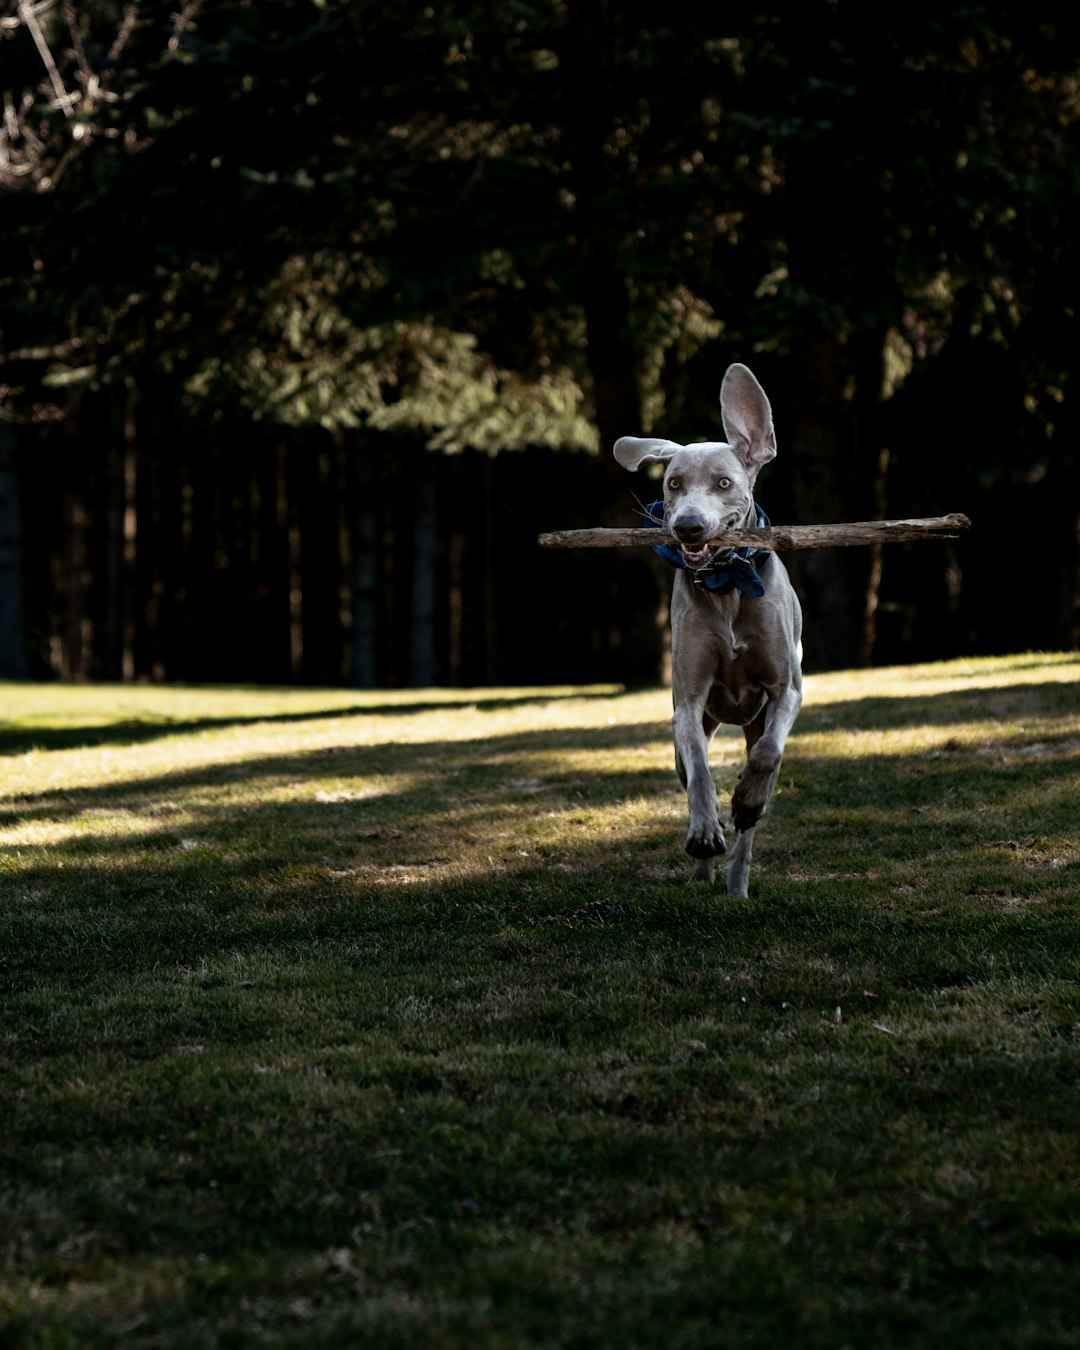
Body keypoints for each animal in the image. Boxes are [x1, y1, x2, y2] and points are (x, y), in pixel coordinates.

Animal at [615, 364, 799, 901]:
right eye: (673, 483)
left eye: (723, 482)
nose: (688, 527)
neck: (727, 586)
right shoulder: (689, 702)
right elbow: (699, 769)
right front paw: (703, 832)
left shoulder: (787, 690)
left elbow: (768, 753)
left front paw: (747, 799)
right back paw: (705, 869)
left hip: (758, 723)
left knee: (755, 800)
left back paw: (738, 880)